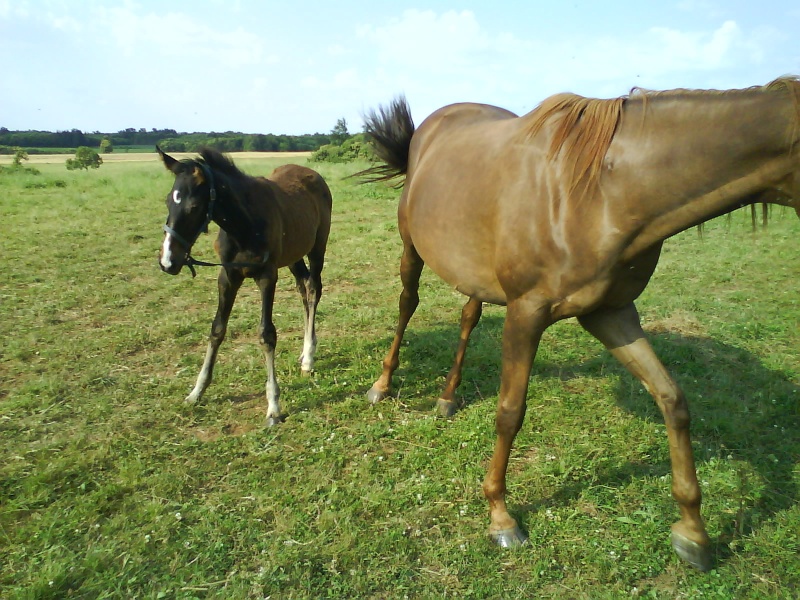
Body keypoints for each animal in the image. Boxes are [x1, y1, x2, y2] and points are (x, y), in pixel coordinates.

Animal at [158, 147, 332, 424]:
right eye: (167, 201)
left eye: (193, 206)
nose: (167, 261)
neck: (243, 223)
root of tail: (312, 174)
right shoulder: (228, 276)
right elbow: (217, 329)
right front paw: (197, 391)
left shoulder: (267, 276)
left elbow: (266, 335)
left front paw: (273, 406)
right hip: (293, 255)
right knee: (303, 287)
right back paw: (306, 352)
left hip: (317, 248)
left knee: (314, 289)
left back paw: (309, 358)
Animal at [362, 77, 800, 568]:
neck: (600, 193)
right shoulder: (526, 312)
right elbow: (509, 413)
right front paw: (500, 516)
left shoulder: (610, 312)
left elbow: (672, 399)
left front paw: (693, 532)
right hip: (411, 248)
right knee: (407, 304)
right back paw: (383, 384)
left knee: (468, 316)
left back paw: (447, 396)